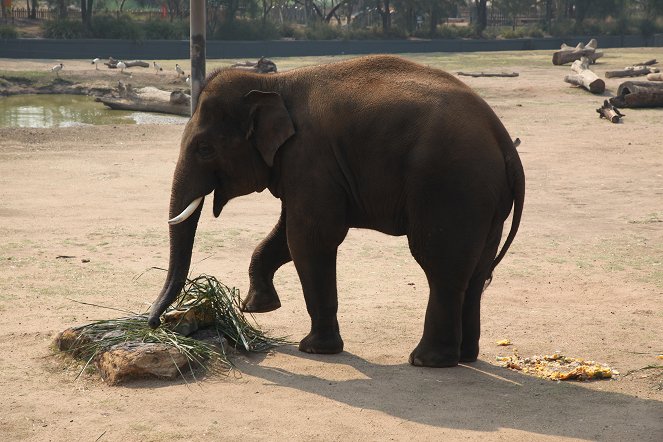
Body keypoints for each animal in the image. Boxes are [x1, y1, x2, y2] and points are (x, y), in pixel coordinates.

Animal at [148, 53, 528, 368]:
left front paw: (313, 349)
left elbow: (310, 237)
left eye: (204, 148)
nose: (154, 324)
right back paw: (465, 356)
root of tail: (505, 142)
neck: (274, 84)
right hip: (485, 201)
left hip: (450, 186)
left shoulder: (311, 157)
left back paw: (427, 361)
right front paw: (257, 307)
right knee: (476, 270)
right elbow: (286, 234)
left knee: (440, 263)